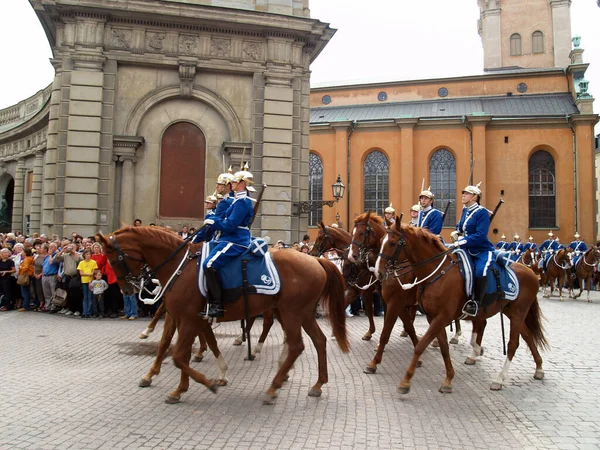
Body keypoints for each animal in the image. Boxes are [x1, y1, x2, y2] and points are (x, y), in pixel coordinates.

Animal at [96, 225, 350, 404]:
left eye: (113, 259)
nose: (127, 290)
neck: (180, 266)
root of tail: (316, 260)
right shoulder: (182, 317)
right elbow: (172, 347)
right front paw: (174, 386)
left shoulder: (189, 319)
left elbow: (179, 356)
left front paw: (209, 382)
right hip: (300, 313)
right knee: (318, 340)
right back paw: (316, 384)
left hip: (291, 313)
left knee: (297, 344)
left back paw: (273, 385)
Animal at [378, 221, 548, 394]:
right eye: (381, 241)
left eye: (392, 243)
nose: (378, 271)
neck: (438, 273)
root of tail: (531, 272)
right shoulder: (433, 317)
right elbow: (443, 347)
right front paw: (448, 379)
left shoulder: (439, 315)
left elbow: (420, 345)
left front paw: (405, 381)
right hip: (512, 313)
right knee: (527, 336)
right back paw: (538, 368)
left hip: (518, 313)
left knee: (512, 344)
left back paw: (498, 379)